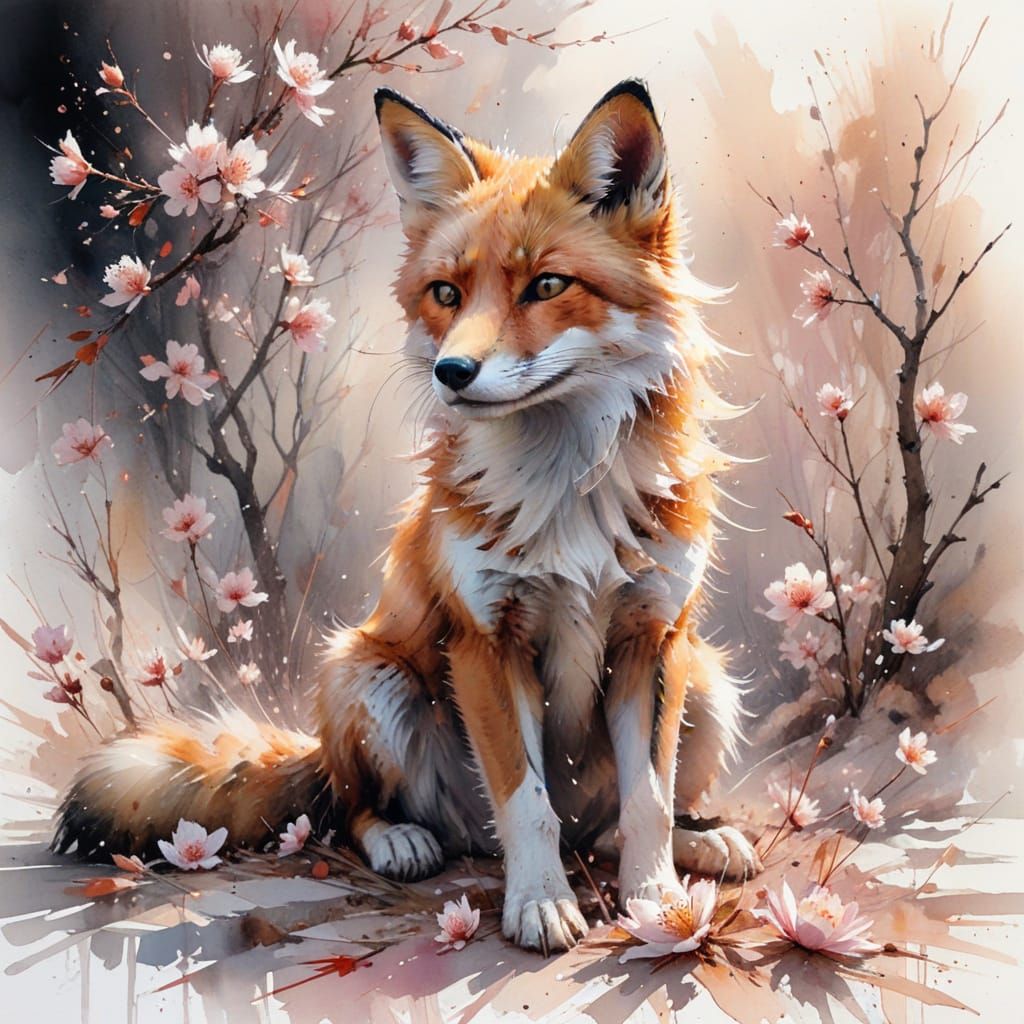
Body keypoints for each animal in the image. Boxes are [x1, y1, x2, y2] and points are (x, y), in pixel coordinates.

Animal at [54, 80, 761, 953]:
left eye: (546, 286)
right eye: (447, 294)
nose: (451, 371)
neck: (566, 500)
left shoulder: (650, 636)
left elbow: (649, 805)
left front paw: (656, 902)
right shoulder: (484, 643)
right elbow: (526, 805)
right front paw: (539, 904)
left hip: (706, 681)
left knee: (603, 827)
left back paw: (708, 839)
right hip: (367, 676)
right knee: (357, 809)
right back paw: (401, 838)